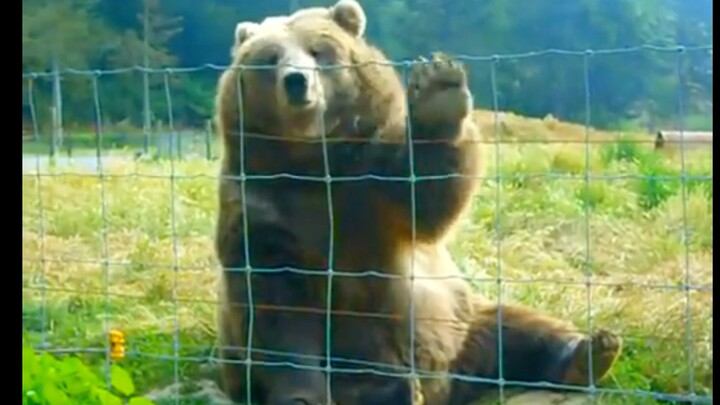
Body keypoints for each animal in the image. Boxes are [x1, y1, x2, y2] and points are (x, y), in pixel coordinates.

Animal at [212, 2, 623, 405]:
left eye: (318, 51)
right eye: (270, 58)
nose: (297, 81)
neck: (316, 163)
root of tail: (451, 382)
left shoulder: (374, 179)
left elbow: (426, 198)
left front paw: (438, 88)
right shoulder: (265, 209)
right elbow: (277, 310)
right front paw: (301, 396)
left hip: (463, 321)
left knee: (518, 331)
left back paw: (589, 352)